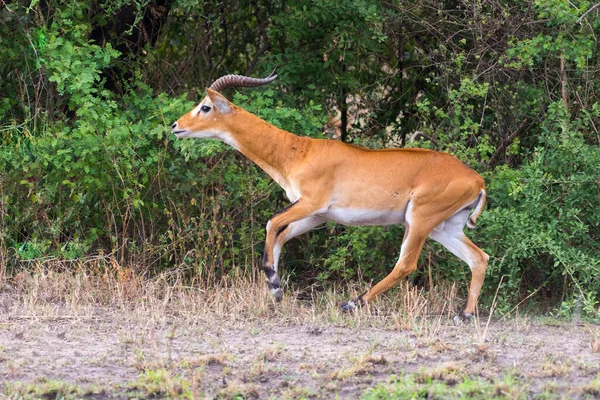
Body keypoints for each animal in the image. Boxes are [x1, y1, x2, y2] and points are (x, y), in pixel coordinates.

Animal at [171, 72, 490, 322]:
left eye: (205, 106)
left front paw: (274, 283)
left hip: (419, 220)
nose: (175, 126)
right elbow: (281, 236)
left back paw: (351, 303)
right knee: (479, 258)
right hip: (443, 228)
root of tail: (477, 179)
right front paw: (276, 291)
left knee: (406, 264)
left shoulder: (311, 203)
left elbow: (271, 224)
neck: (298, 152)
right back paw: (465, 314)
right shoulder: (316, 216)